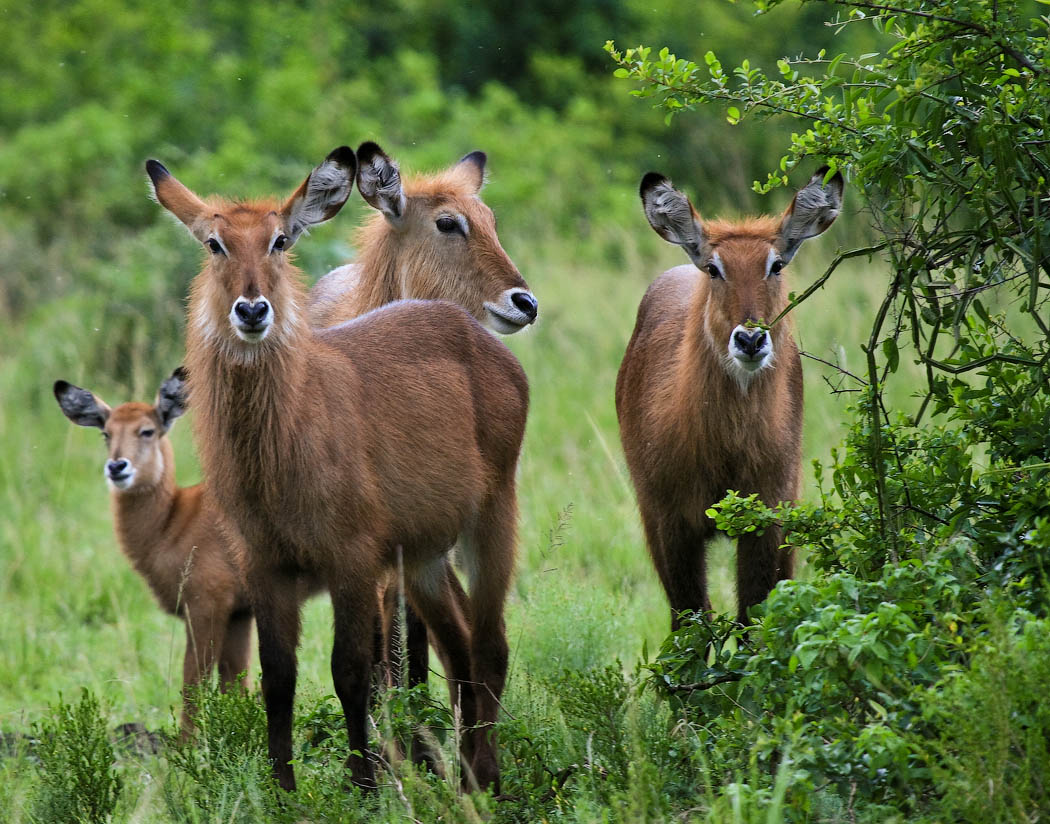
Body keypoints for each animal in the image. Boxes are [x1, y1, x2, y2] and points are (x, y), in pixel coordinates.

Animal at [55, 369, 254, 730]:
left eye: (147, 430)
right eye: (106, 432)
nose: (117, 467)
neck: (173, 521)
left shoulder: (206, 606)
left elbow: (193, 686)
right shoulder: (240, 614)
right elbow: (236, 686)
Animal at [613, 168, 844, 629]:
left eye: (775, 265)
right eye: (714, 268)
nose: (751, 339)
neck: (726, 452)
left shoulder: (767, 520)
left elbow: (754, 615)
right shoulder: (671, 524)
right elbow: (692, 621)